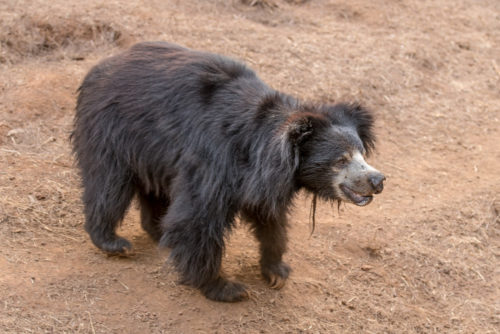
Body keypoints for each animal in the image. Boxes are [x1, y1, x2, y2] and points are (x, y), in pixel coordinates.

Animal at [71, 40, 382, 302]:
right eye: (341, 159)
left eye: (362, 153)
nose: (378, 180)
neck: (264, 152)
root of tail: (100, 67)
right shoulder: (215, 161)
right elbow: (197, 217)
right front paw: (225, 287)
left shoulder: (261, 181)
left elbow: (270, 219)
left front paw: (276, 272)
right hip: (112, 129)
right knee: (108, 183)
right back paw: (113, 242)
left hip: (151, 149)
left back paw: (158, 233)